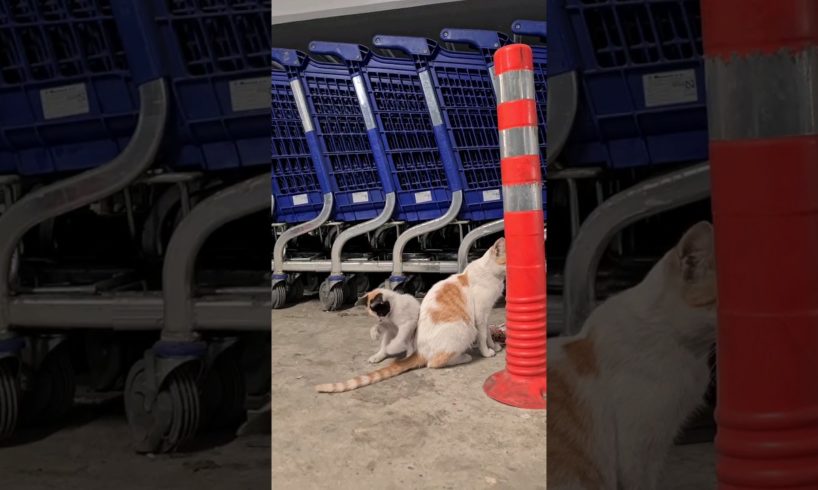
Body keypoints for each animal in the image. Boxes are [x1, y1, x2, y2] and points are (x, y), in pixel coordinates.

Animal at [312, 237, 504, 394]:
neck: (492, 275)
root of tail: (419, 351)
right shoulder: (480, 316)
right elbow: (482, 336)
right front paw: (487, 352)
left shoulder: (487, 314)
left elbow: (488, 334)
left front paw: (494, 346)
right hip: (466, 328)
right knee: (433, 363)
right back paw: (464, 356)